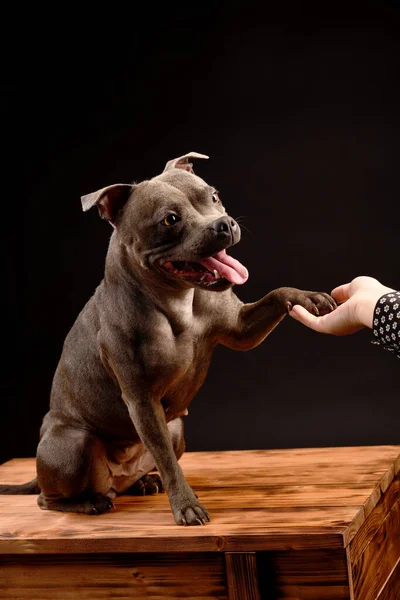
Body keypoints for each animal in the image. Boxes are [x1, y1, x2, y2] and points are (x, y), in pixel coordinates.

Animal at [0, 154, 334, 524]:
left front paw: (307, 297)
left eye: (214, 197)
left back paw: (141, 482)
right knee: (49, 498)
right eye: (170, 219)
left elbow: (277, 294)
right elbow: (168, 461)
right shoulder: (143, 401)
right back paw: (88, 502)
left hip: (176, 429)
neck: (178, 300)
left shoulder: (239, 329)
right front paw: (186, 505)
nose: (224, 224)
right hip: (73, 445)